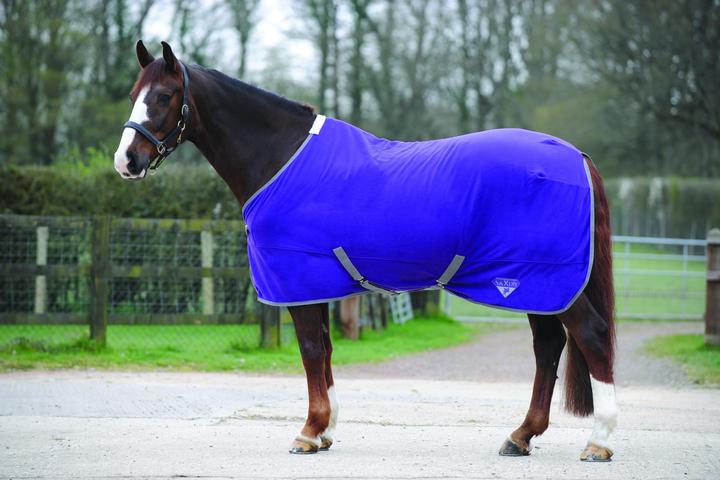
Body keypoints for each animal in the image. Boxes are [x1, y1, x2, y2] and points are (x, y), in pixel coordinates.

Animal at [114, 41, 618, 462]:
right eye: (135, 93)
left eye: (164, 96)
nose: (126, 161)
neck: (282, 157)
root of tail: (576, 157)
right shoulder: (314, 284)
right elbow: (326, 350)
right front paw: (325, 431)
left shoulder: (297, 279)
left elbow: (310, 350)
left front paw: (308, 432)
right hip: (538, 287)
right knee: (549, 348)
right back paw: (521, 436)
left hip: (545, 280)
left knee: (591, 337)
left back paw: (599, 442)